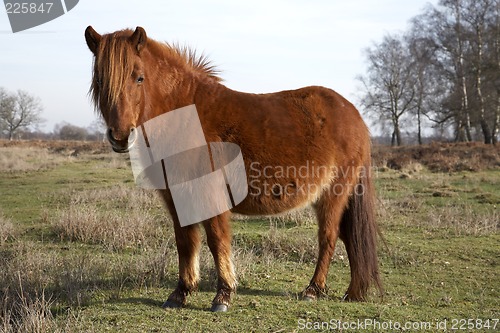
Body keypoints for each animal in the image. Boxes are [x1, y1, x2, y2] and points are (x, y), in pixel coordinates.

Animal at [85, 26, 382, 312]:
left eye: (139, 78)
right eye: (99, 80)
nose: (121, 136)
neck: (186, 116)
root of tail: (353, 114)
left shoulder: (210, 195)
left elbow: (216, 240)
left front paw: (223, 295)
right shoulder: (177, 198)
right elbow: (185, 241)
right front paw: (180, 293)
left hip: (333, 194)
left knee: (329, 238)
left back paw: (313, 290)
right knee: (349, 238)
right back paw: (351, 292)